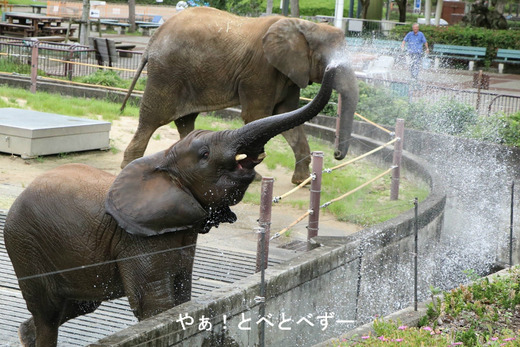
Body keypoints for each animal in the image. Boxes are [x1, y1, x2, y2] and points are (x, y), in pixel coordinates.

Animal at [3, 65, 338, 347]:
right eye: (204, 154)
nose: (333, 66)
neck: (163, 159)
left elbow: (181, 296)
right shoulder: (138, 240)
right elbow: (155, 304)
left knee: (76, 304)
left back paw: (24, 335)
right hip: (25, 243)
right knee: (49, 312)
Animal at [120, 6, 360, 185]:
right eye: (331, 61)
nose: (337, 155)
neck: (302, 25)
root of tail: (154, 37)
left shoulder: (288, 73)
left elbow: (288, 117)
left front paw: (303, 182)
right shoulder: (261, 70)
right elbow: (258, 116)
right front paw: (257, 178)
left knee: (185, 119)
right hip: (167, 73)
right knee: (153, 118)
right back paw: (129, 167)